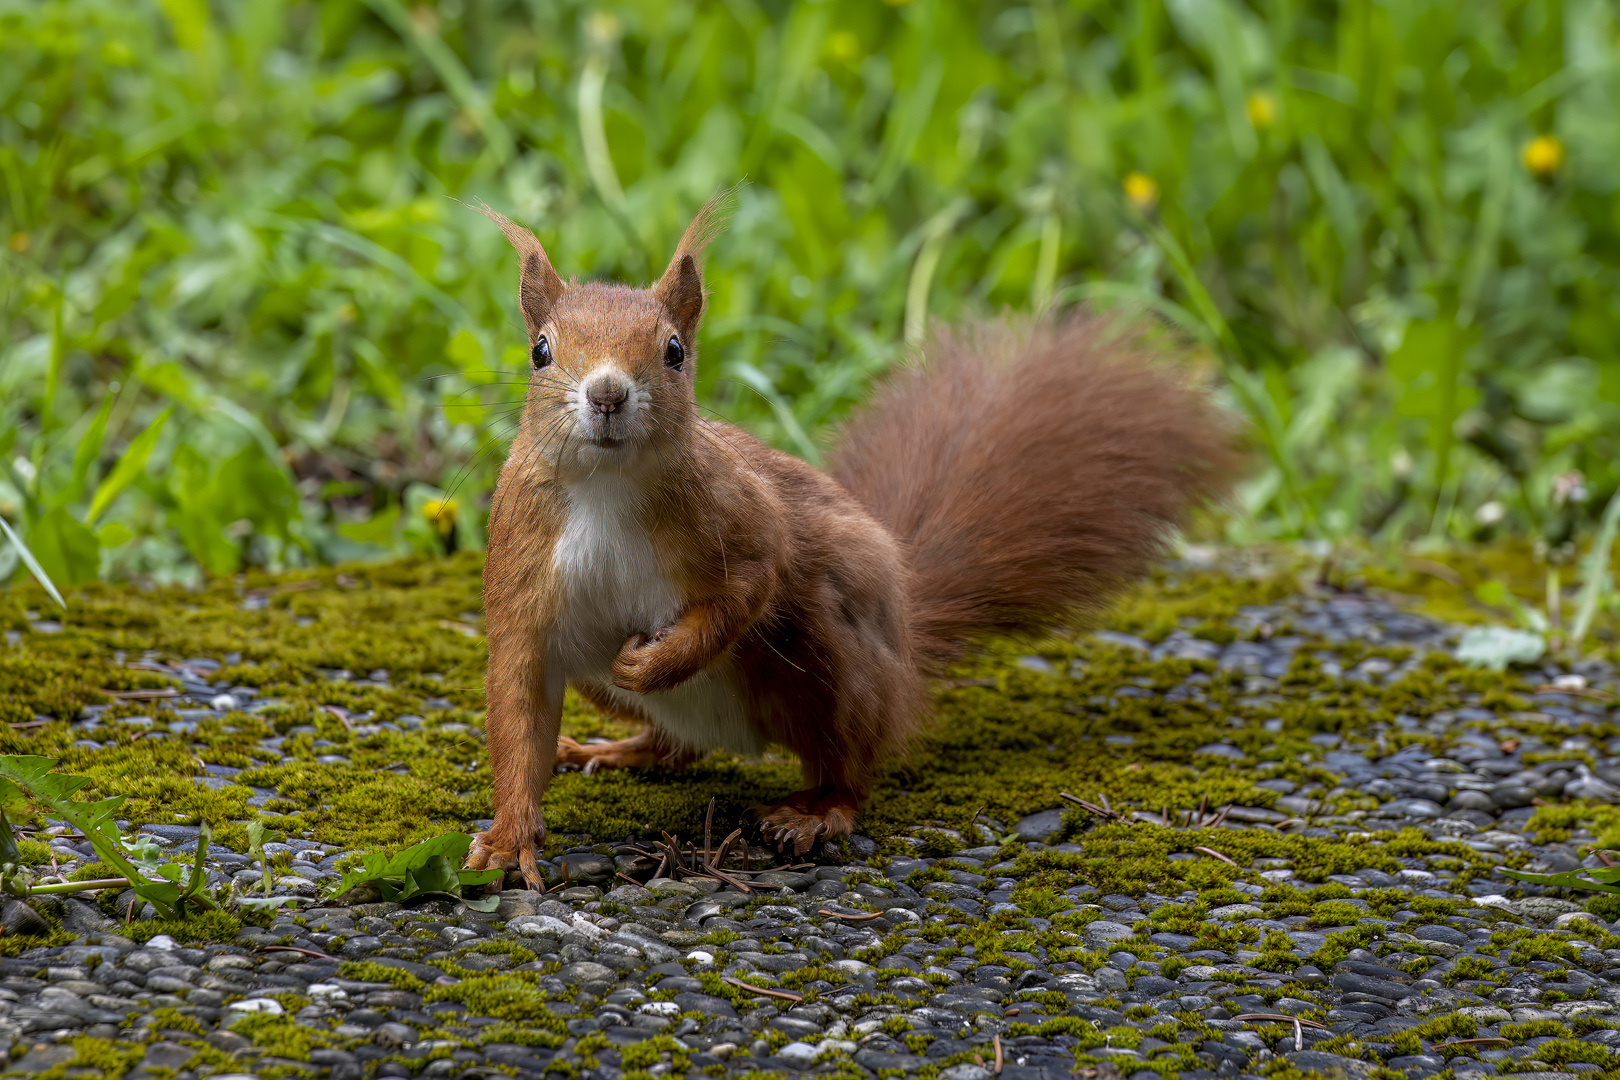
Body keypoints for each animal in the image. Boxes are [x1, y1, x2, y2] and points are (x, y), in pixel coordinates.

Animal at [469, 196, 1237, 887]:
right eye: (540, 350)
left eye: (674, 351)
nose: (606, 394)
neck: (607, 486)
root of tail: (904, 658)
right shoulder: (521, 572)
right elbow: (518, 711)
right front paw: (508, 840)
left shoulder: (743, 517)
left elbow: (751, 587)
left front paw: (658, 661)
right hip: (611, 685)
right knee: (675, 747)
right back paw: (614, 749)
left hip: (832, 653)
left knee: (848, 766)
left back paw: (813, 813)